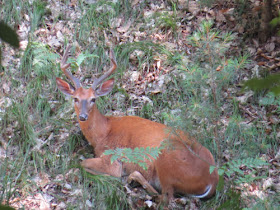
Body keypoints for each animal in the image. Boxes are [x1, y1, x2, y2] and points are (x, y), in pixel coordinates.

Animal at [56, 45, 219, 203]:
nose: (83, 116)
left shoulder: (112, 158)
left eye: (93, 99)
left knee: (165, 197)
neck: (103, 133)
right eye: (75, 98)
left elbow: (82, 163)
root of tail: (212, 181)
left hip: (166, 156)